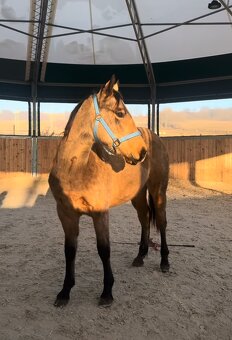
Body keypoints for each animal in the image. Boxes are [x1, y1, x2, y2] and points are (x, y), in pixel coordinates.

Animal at [48, 75, 169, 306]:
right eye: (120, 113)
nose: (142, 152)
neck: (76, 169)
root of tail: (154, 137)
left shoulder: (100, 214)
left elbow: (104, 250)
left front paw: (107, 292)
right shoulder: (65, 214)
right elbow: (69, 251)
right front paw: (65, 291)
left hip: (158, 191)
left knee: (162, 222)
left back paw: (165, 261)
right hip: (137, 196)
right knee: (144, 219)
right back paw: (140, 256)